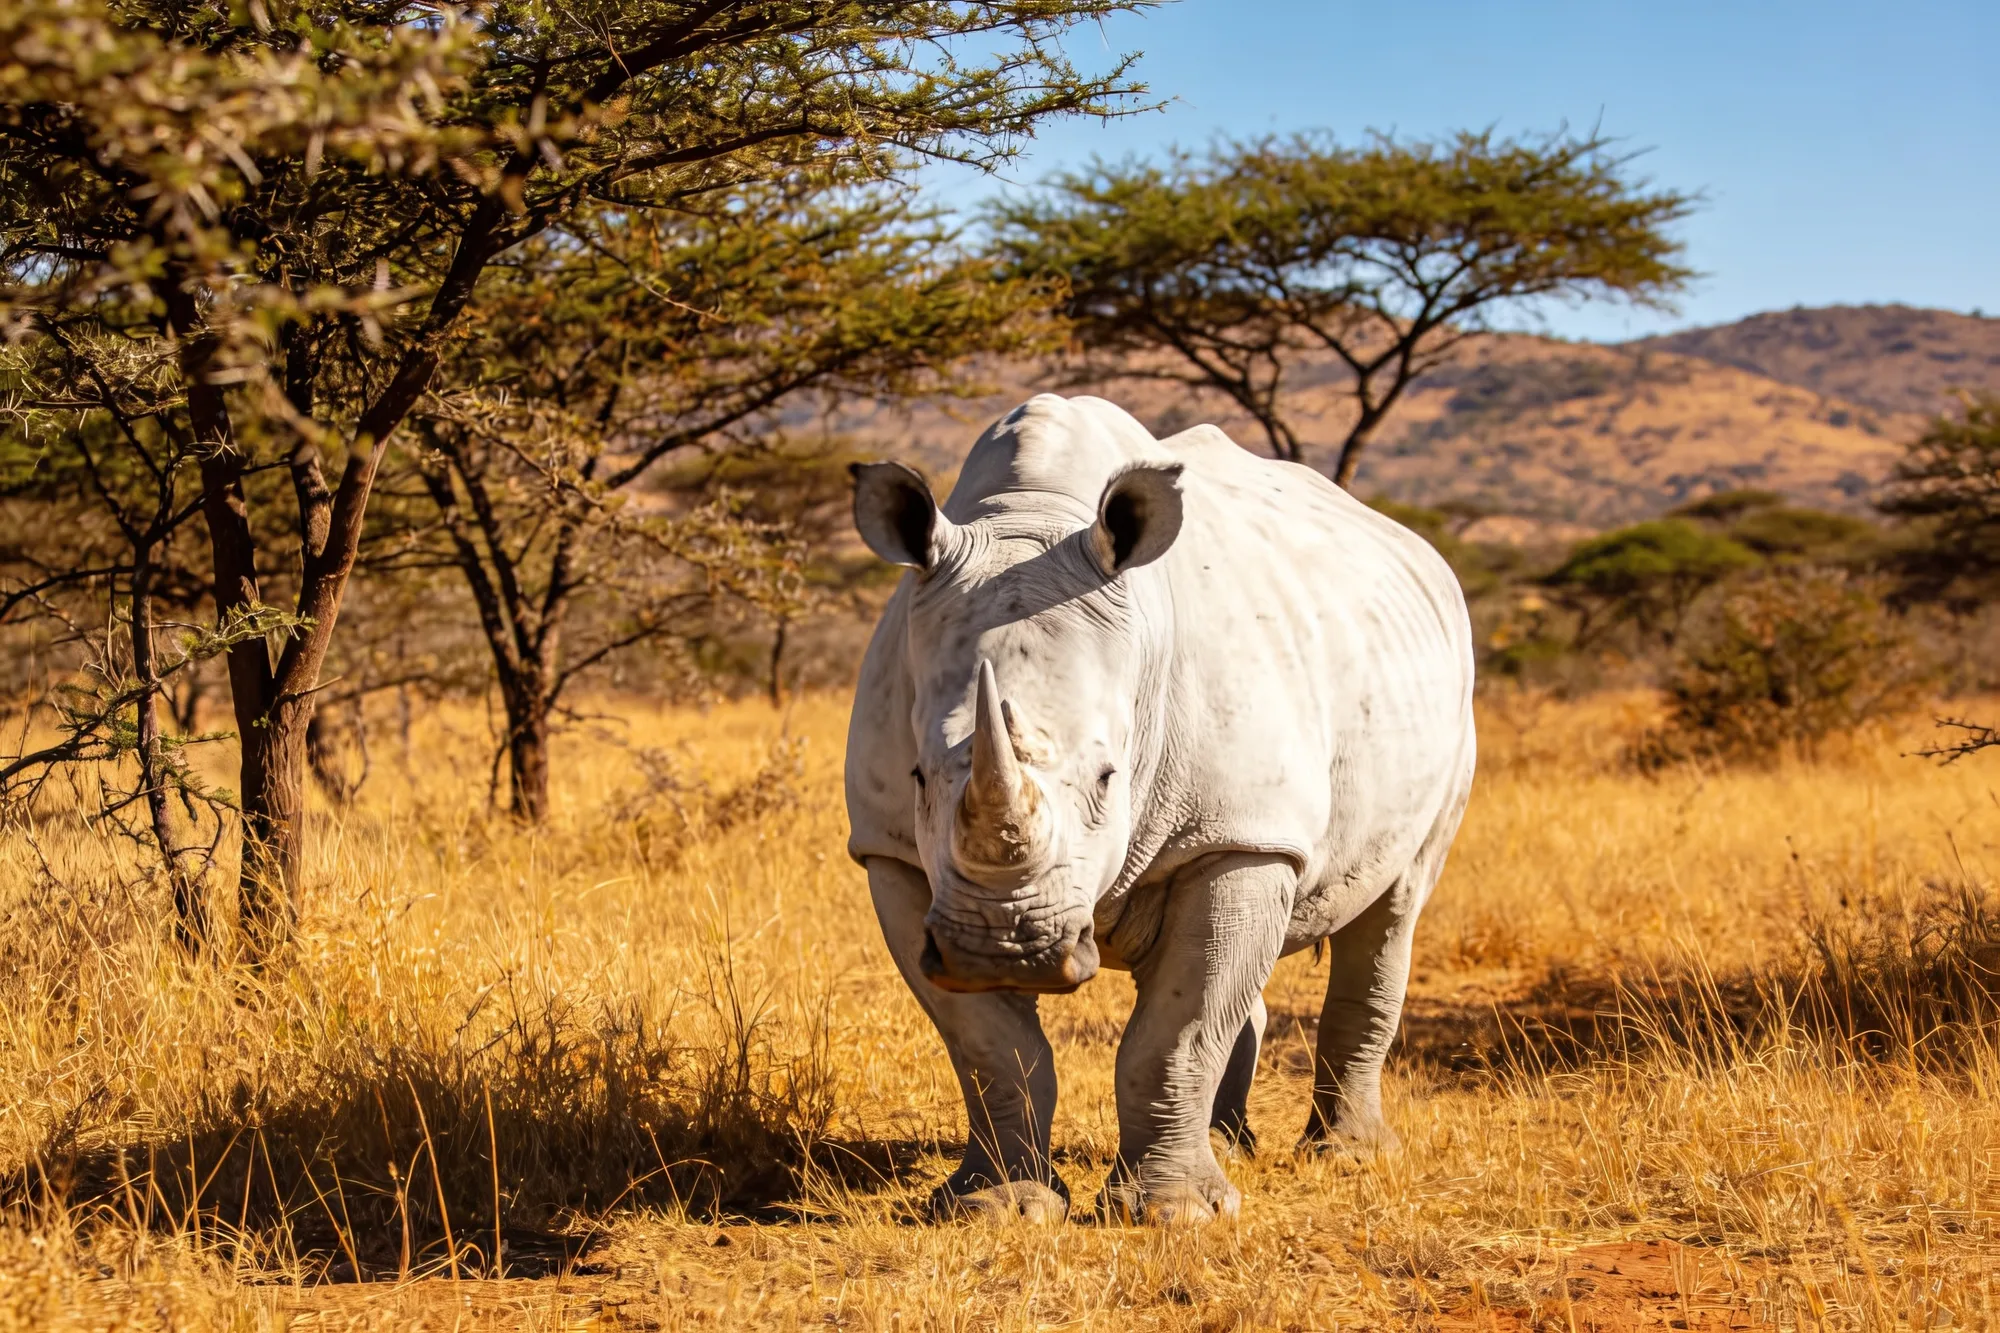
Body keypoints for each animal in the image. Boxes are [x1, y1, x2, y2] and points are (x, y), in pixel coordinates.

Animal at [844, 395, 1475, 1224]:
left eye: (1109, 777)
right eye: (918, 776)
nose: (1004, 948)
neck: (1034, 518)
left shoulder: (1238, 835)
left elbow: (1178, 1028)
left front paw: (1175, 1215)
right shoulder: (891, 851)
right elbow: (987, 1043)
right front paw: (996, 1206)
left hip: (1448, 707)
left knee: (1395, 904)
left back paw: (1350, 1157)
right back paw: (1234, 1144)